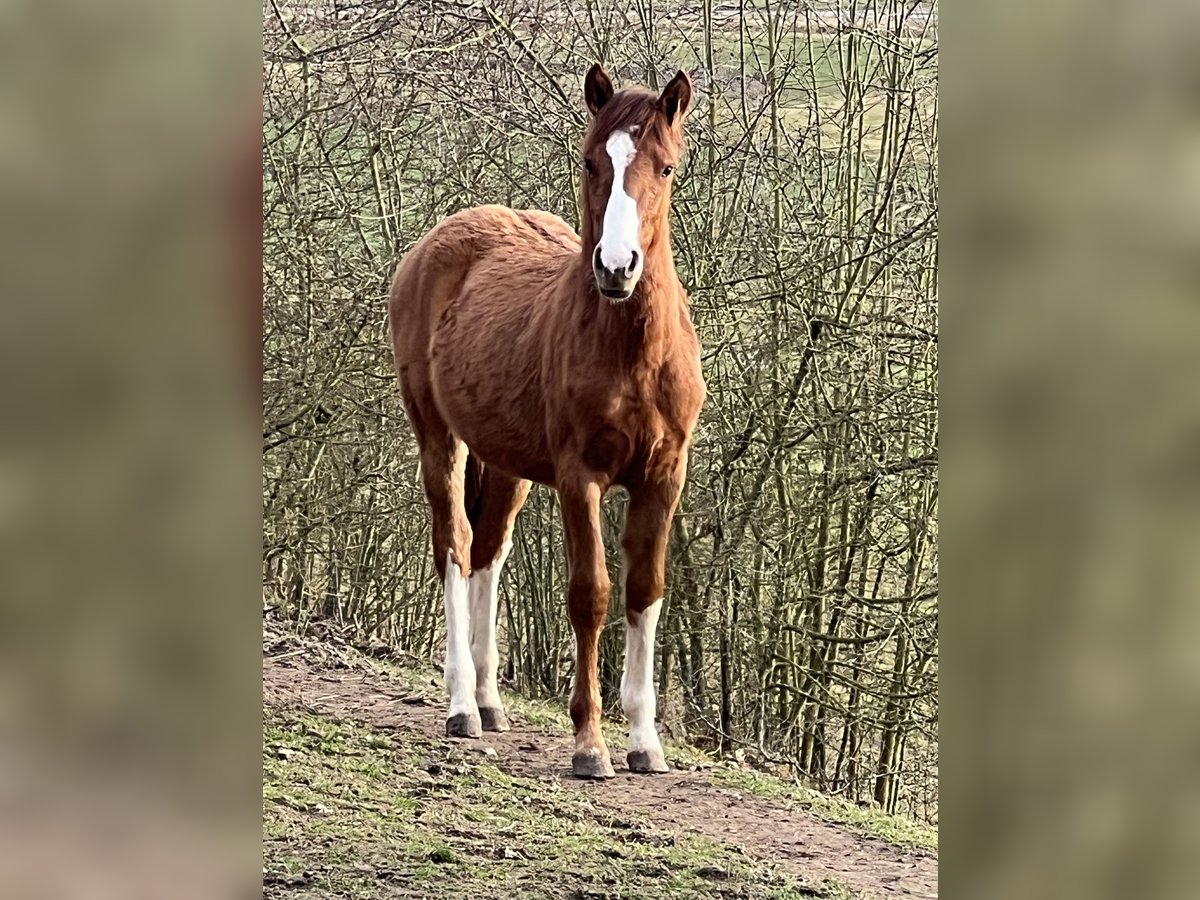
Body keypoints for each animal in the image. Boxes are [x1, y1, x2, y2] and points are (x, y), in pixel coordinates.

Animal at [384, 65, 700, 782]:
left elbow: (644, 590)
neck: (632, 354)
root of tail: (435, 244)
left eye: (666, 167)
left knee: (487, 551)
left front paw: (645, 742)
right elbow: (592, 593)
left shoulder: (663, 478)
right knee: (454, 545)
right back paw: (461, 707)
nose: (616, 267)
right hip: (438, 438)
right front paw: (590, 745)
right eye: (591, 161)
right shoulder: (581, 478)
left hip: (506, 465)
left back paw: (490, 701)